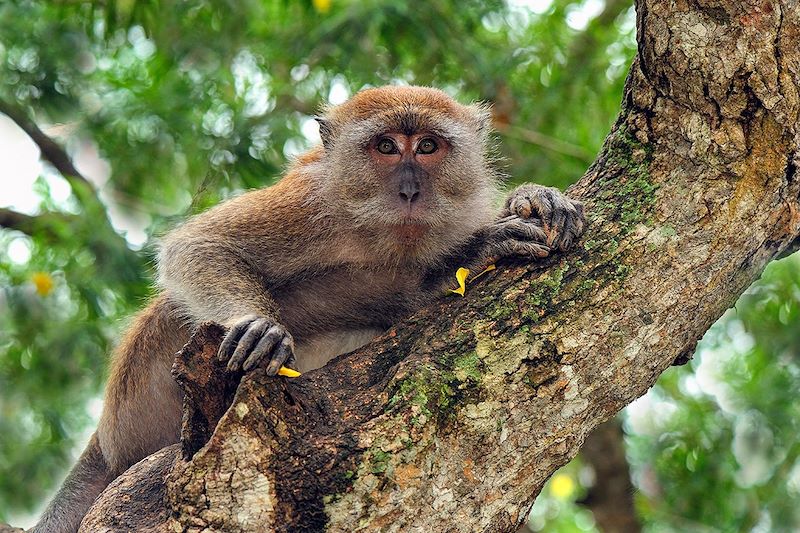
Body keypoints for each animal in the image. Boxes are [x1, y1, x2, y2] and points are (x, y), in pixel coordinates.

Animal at [31, 85, 584, 528]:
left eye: (428, 146)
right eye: (386, 147)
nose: (409, 189)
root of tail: (106, 438)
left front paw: (529, 203)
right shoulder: (308, 205)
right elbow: (200, 246)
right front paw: (260, 326)